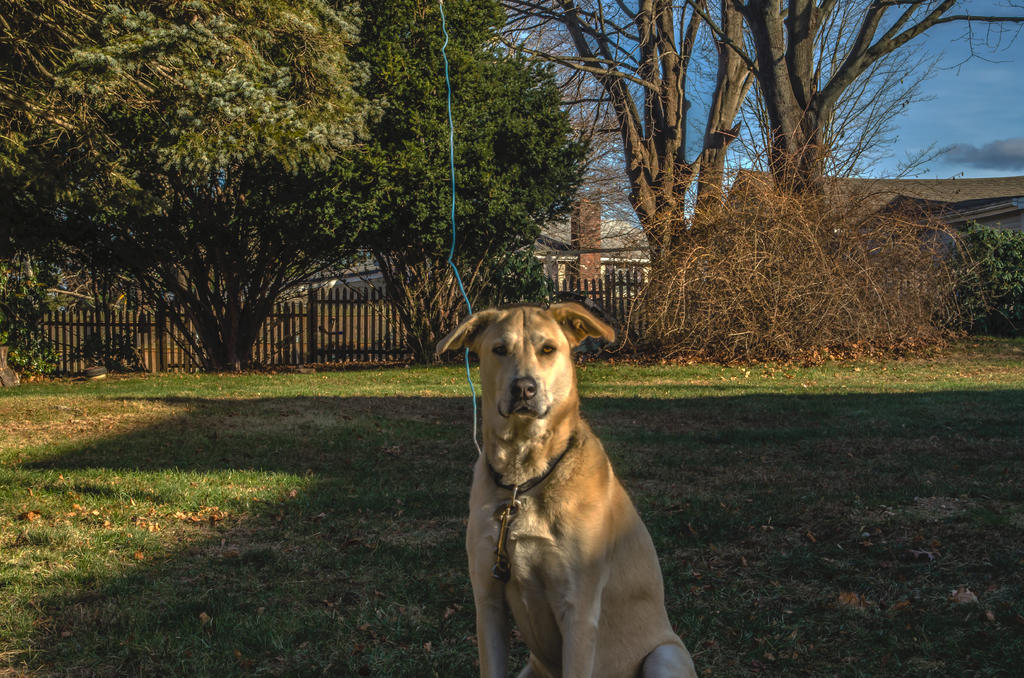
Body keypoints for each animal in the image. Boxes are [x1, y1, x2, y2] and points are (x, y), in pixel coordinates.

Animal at [437, 303, 697, 678]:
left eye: (548, 349)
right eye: (499, 349)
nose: (524, 388)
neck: (523, 479)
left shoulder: (579, 611)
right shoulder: (488, 602)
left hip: (665, 655)